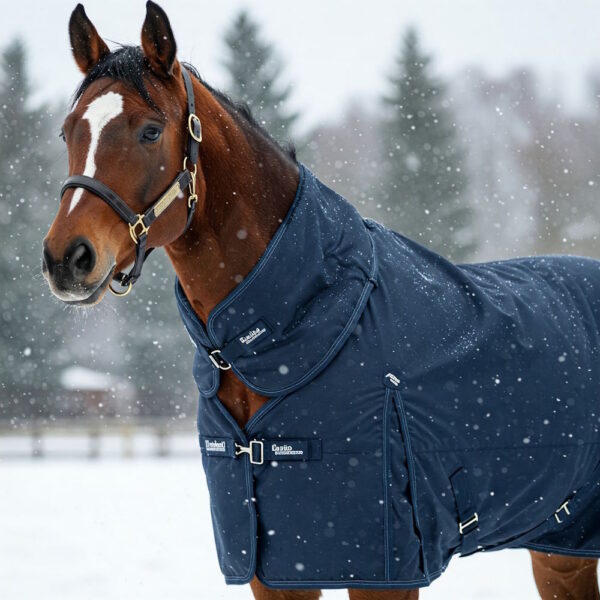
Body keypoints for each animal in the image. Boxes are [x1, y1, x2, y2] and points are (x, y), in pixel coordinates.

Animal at [42, 2, 600, 596]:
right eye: (68, 131)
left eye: (150, 131)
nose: (66, 258)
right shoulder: (276, 569)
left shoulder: (384, 569)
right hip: (560, 548)